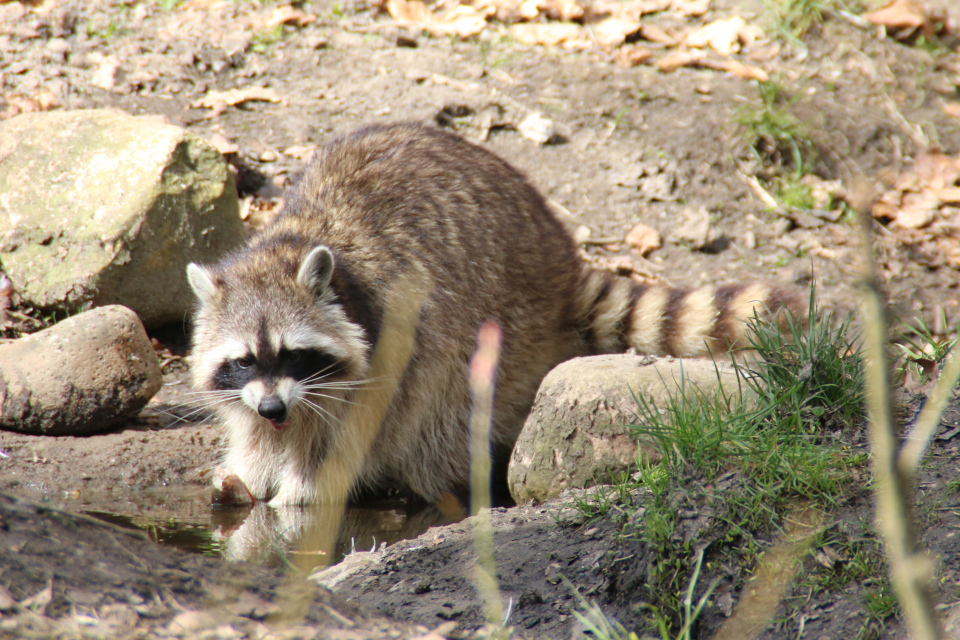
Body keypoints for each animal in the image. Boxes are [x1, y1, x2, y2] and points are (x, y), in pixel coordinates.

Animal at [188, 122, 804, 508]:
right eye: (245, 361)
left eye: (293, 353)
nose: (272, 408)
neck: (289, 243)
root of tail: (560, 262)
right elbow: (265, 431)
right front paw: (250, 470)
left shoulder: (390, 342)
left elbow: (356, 431)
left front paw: (301, 490)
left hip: (502, 326)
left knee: (446, 407)